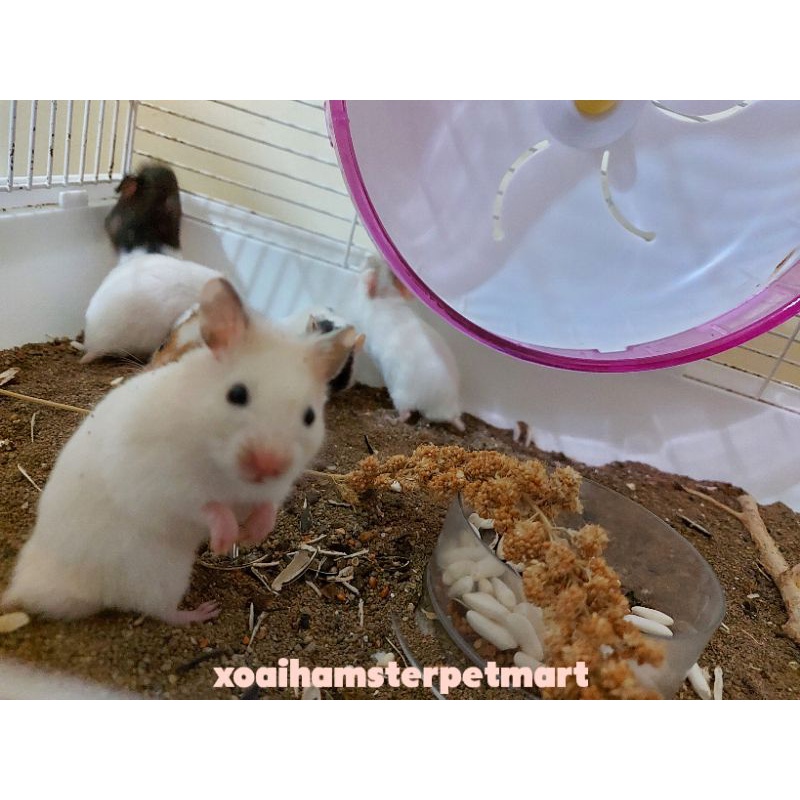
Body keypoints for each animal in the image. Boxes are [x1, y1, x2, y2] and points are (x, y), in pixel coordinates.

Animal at [2, 278, 357, 625]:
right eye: (236, 394)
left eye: (310, 416)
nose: (268, 465)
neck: (224, 464)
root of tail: (31, 588)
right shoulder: (168, 486)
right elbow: (209, 507)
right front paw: (226, 541)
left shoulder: (272, 490)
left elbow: (267, 508)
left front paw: (250, 537)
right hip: (162, 574)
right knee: (159, 611)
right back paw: (204, 611)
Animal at [350, 254, 464, 430]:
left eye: (373, 264)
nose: (369, 255)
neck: (389, 294)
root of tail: (449, 409)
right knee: (428, 418)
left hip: (401, 395)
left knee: (406, 414)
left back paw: (390, 418)